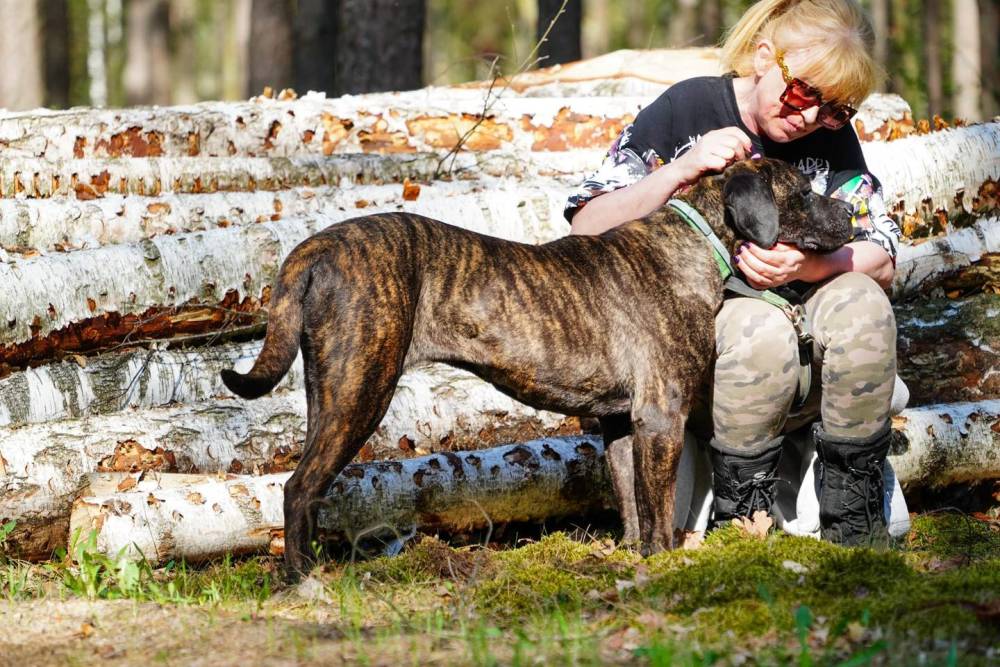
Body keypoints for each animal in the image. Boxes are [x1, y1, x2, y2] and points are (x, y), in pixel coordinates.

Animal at [221, 158, 855, 577]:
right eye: (804, 190)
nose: (852, 210)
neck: (698, 240)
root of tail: (314, 248)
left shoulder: (621, 424)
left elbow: (630, 501)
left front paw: (628, 558)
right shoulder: (661, 416)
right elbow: (656, 507)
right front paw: (662, 563)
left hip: (329, 388)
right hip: (362, 387)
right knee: (300, 486)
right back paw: (303, 579)